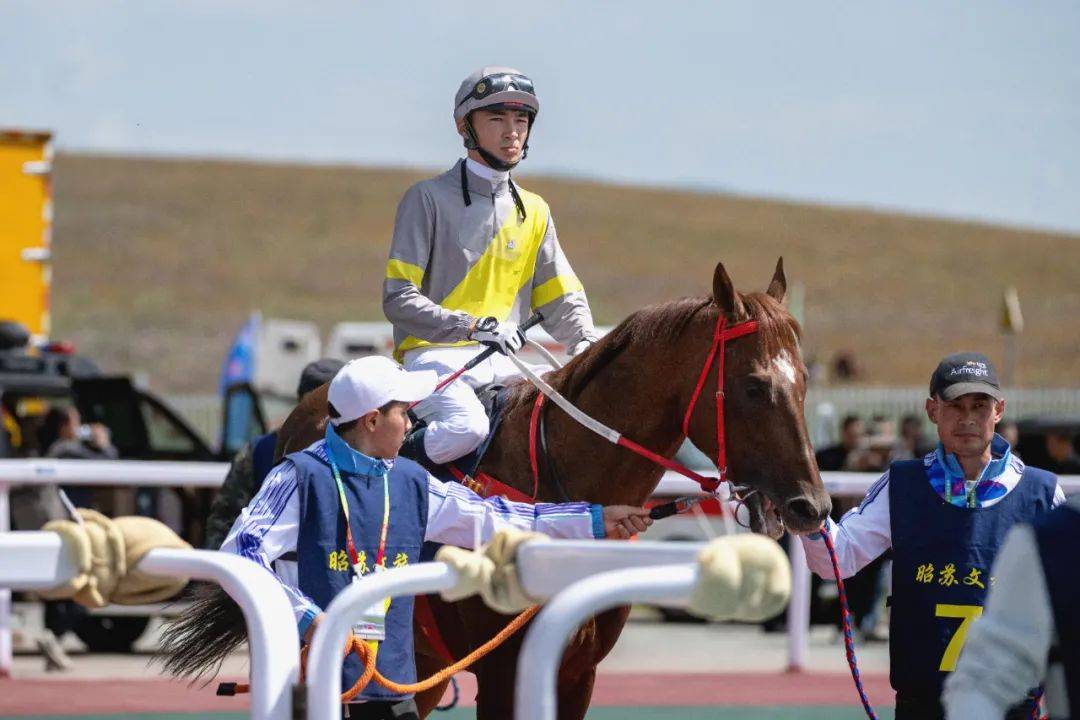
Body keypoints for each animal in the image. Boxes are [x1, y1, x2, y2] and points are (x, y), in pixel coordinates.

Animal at [157, 255, 825, 716]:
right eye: (754, 386)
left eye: (803, 382)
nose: (810, 506)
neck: (556, 469)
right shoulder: (503, 671)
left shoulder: (576, 673)